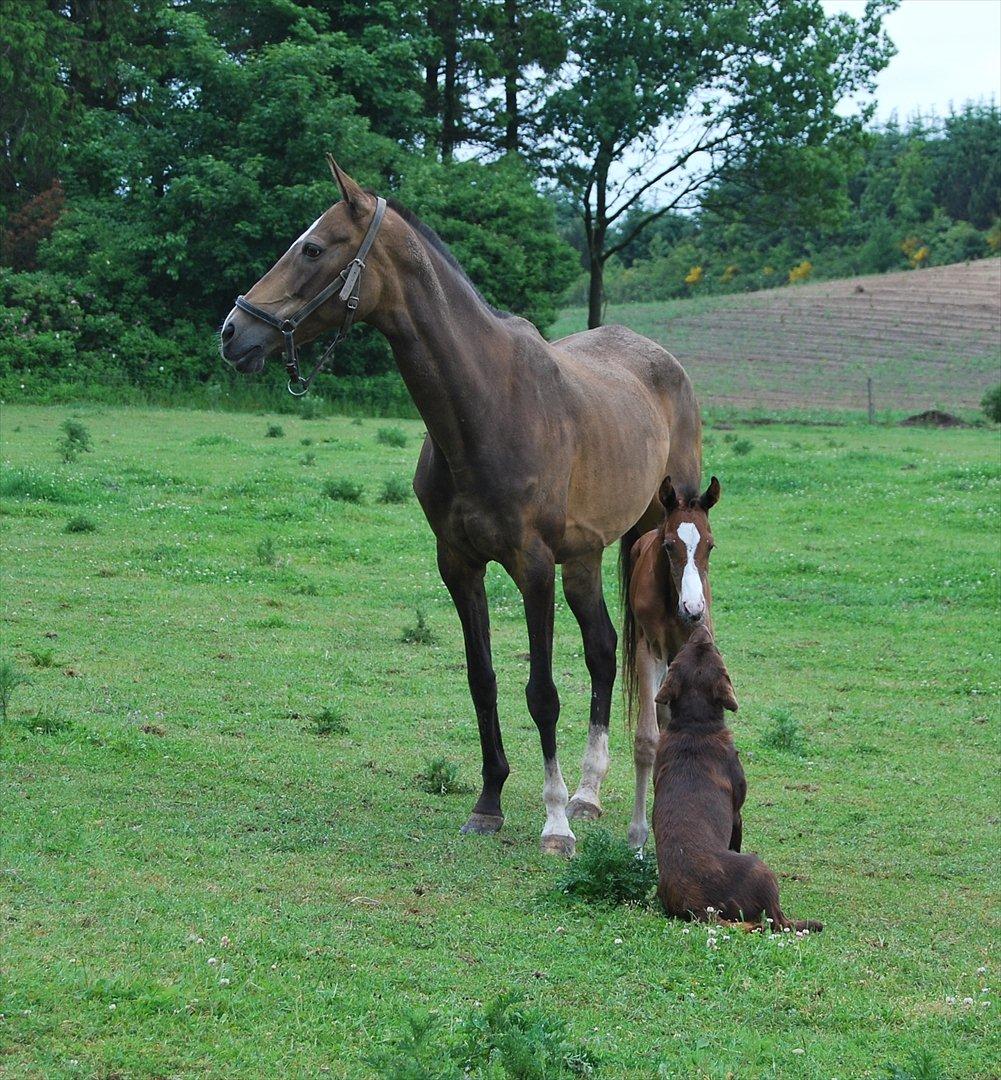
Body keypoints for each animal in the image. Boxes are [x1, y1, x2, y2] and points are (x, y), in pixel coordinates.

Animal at [219, 159, 704, 851]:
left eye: (312, 248)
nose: (234, 333)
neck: (488, 403)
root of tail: (664, 363)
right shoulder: (459, 564)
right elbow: (483, 681)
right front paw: (490, 800)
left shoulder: (532, 567)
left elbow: (541, 691)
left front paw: (553, 822)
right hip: (583, 558)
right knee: (604, 649)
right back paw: (587, 792)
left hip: (655, 534)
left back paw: (590, 799)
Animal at [626, 477, 721, 846]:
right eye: (669, 546)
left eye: (710, 545)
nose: (693, 609)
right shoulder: (648, 650)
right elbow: (646, 739)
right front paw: (638, 836)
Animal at [652, 626, 824, 937]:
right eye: (715, 650)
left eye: (687, 648)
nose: (700, 626)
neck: (695, 724)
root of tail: (698, 908)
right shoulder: (737, 814)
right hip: (760, 868)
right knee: (778, 922)